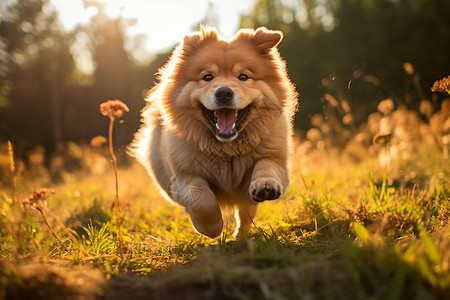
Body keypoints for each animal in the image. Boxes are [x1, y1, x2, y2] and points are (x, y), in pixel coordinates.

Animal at [132, 25, 298, 238]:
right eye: (207, 77)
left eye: (243, 76)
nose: (224, 93)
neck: (227, 150)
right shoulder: (185, 176)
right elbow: (202, 199)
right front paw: (211, 228)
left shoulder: (275, 157)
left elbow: (266, 166)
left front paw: (265, 185)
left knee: (246, 211)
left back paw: (241, 235)